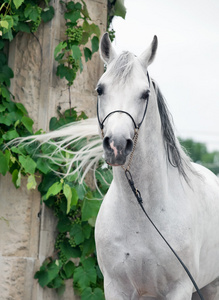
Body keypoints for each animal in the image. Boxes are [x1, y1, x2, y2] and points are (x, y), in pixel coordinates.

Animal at [94, 33, 219, 300]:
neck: (141, 214)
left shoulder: (180, 289)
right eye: (100, 89)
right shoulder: (116, 288)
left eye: (145, 94)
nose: (117, 145)